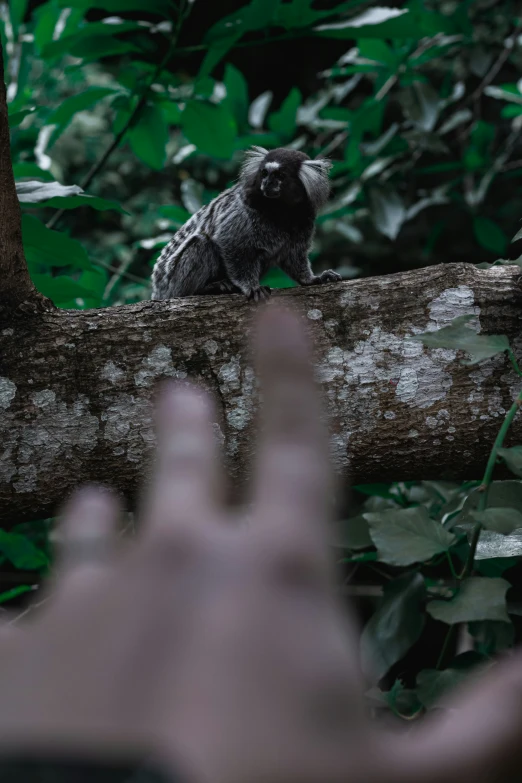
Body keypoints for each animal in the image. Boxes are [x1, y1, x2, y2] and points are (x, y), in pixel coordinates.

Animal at [149, 147, 342, 304]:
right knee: (201, 243)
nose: (267, 183)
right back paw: (204, 289)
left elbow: (293, 256)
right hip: (173, 282)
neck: (280, 210)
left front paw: (311, 279)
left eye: (280, 176)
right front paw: (251, 287)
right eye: (264, 173)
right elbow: (231, 244)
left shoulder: (304, 220)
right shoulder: (242, 212)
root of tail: (158, 291)